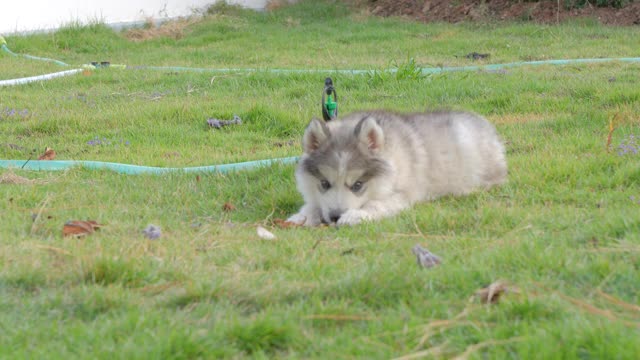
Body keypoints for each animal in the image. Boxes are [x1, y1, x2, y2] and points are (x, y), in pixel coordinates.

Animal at [288, 111, 508, 226]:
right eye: (324, 183)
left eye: (358, 185)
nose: (335, 217)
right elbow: (314, 205)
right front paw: (302, 216)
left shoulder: (402, 195)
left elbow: (376, 203)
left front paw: (355, 215)